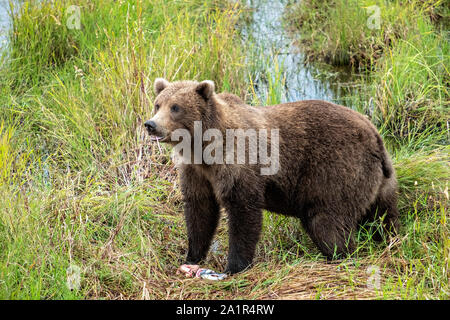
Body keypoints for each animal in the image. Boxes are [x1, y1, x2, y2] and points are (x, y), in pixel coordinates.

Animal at [144, 78, 398, 276]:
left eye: (175, 107)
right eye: (158, 104)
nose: (151, 124)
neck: (203, 147)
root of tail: (374, 133)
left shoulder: (239, 161)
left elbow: (243, 212)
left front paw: (234, 266)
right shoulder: (196, 171)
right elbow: (200, 210)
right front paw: (192, 256)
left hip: (335, 170)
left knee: (326, 221)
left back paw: (340, 254)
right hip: (379, 180)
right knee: (382, 215)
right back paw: (386, 239)